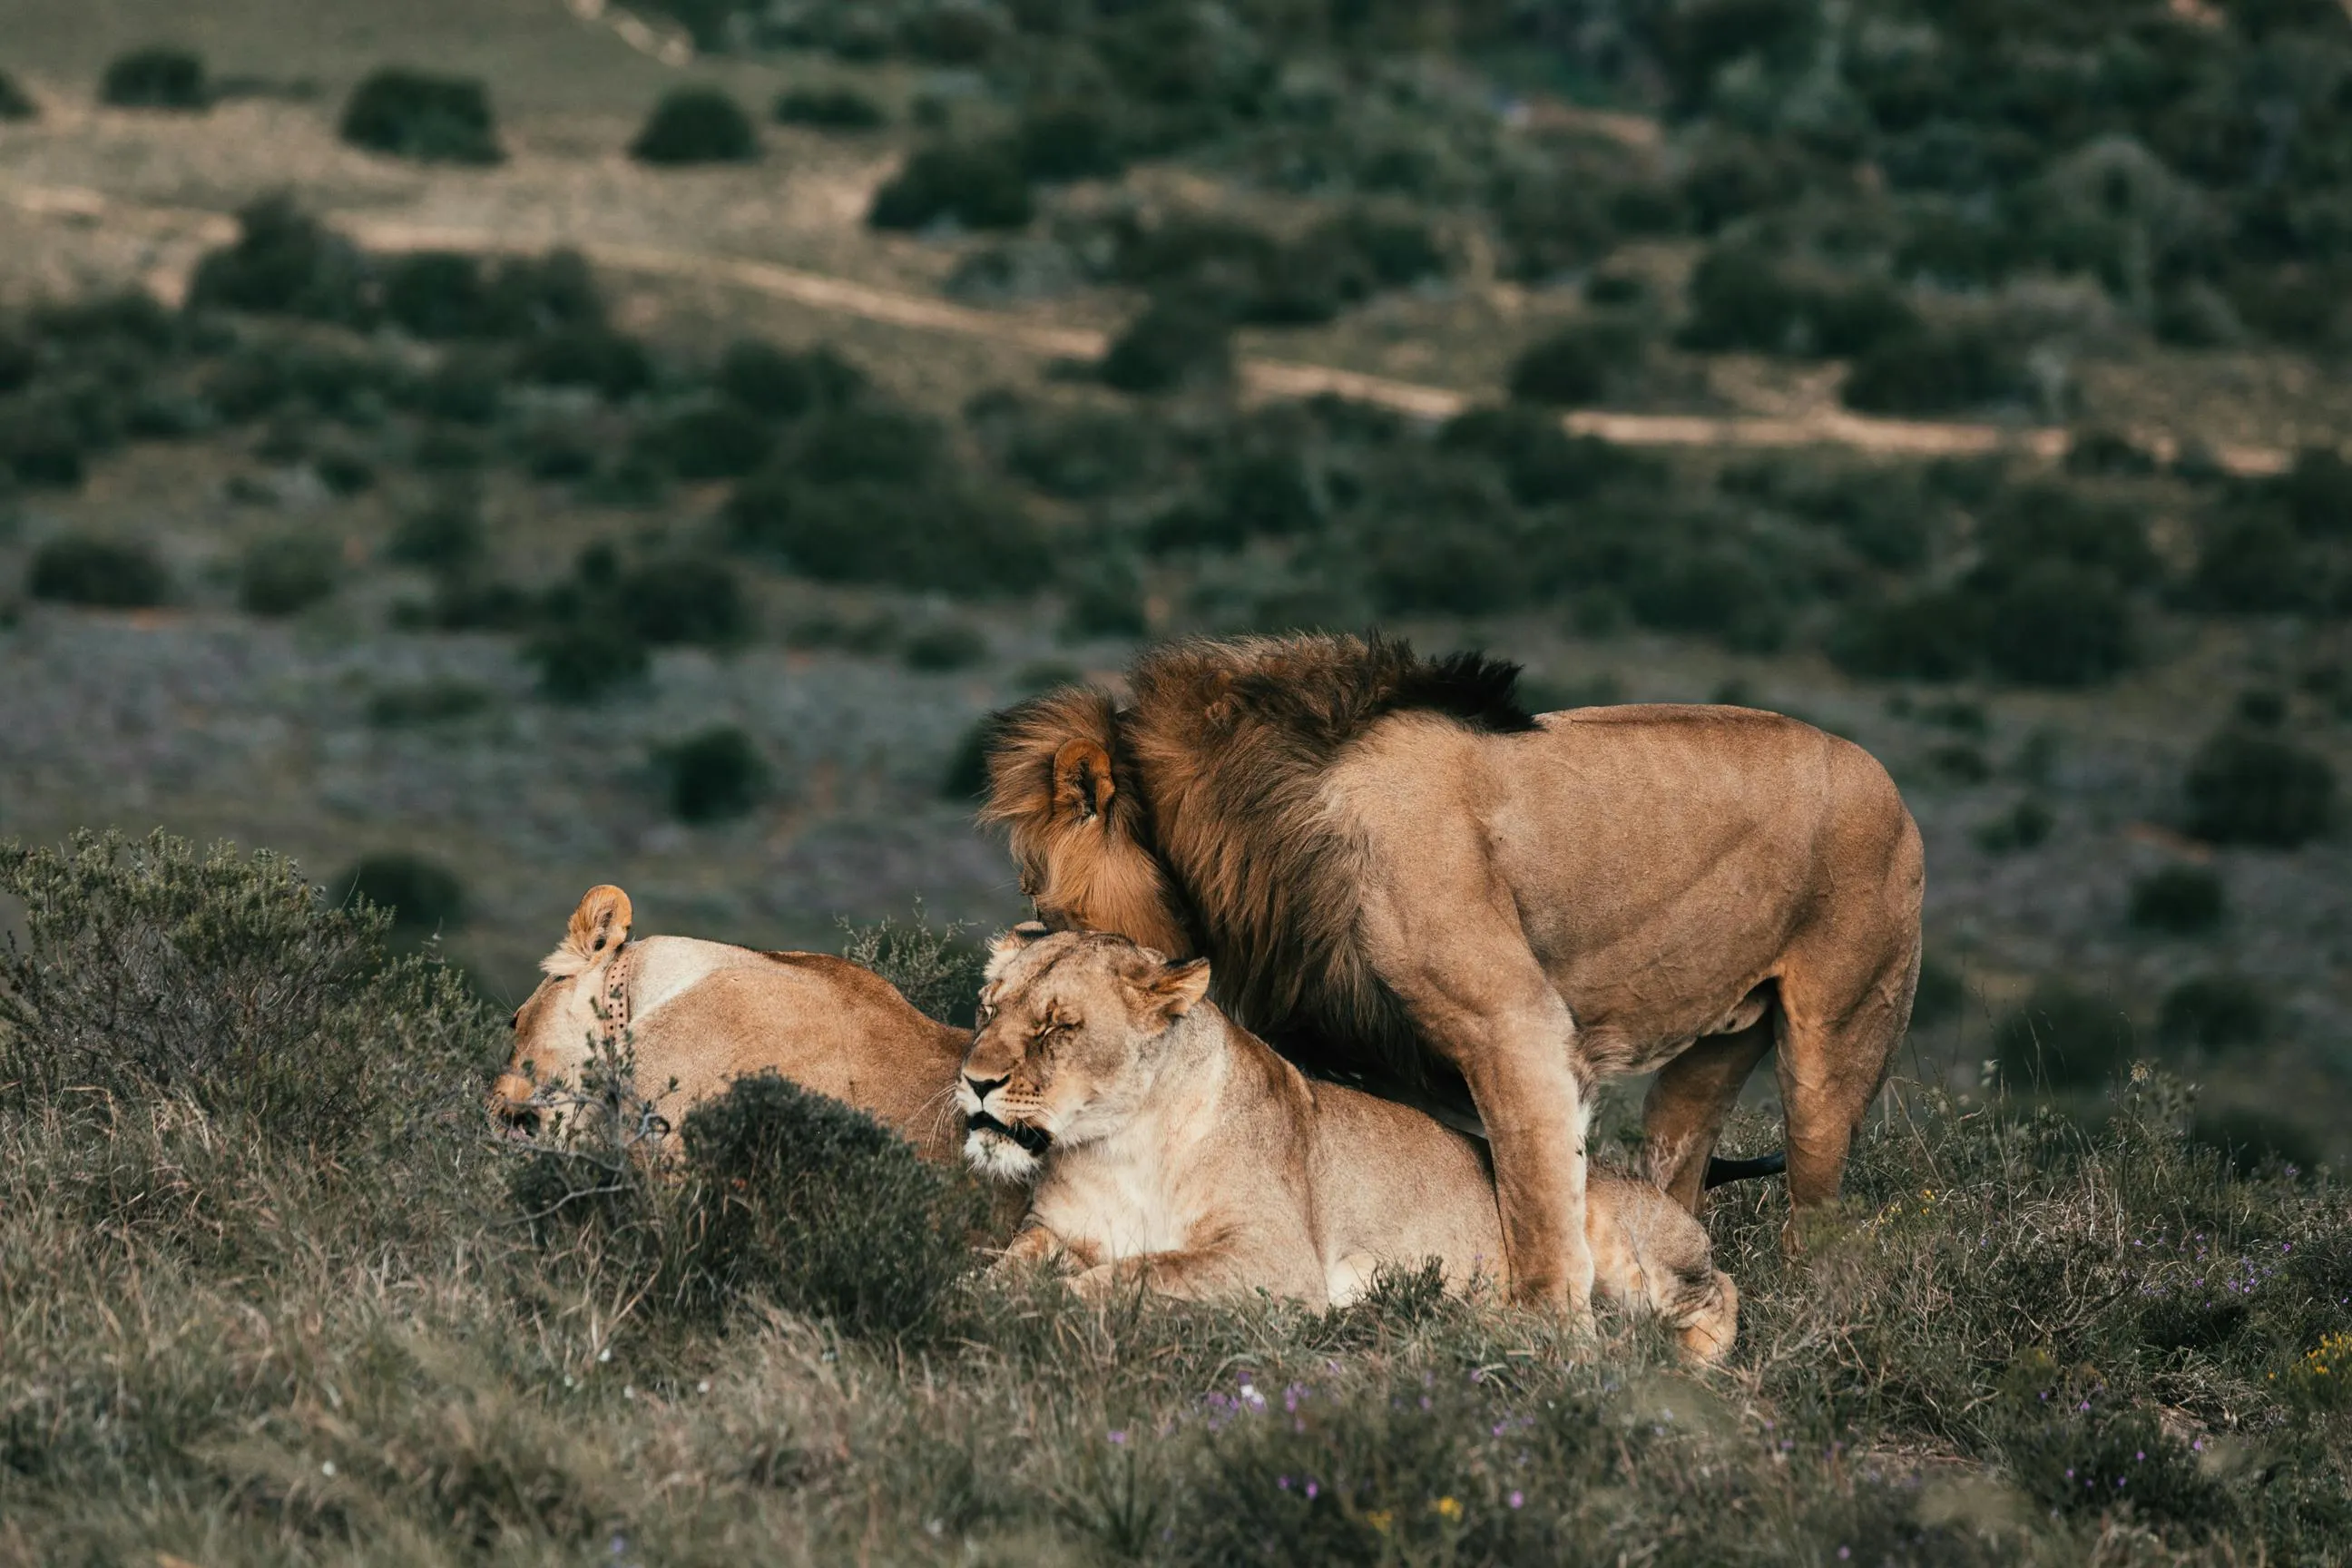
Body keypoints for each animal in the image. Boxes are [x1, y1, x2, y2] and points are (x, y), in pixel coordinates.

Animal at [958, 926, 1738, 1361]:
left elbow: (1128, 1276)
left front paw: (1038, 1310)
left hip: (1610, 1232)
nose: (973, 1082)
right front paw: (984, 1296)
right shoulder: (1054, 1229)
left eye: (1058, 1027)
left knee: (1716, 1290)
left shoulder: (1274, 1260)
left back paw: (1684, 1364)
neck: (1117, 1143)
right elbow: (1004, 1272)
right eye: (988, 1009)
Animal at [982, 632, 1923, 1318]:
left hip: (1836, 1050)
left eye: (1041, 896)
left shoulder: (1518, 1028)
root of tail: (1891, 784)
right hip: (1699, 1071)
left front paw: (1549, 1347)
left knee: (1817, 1219)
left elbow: (1537, 1212)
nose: (1015, 938)